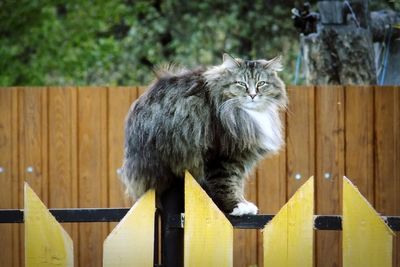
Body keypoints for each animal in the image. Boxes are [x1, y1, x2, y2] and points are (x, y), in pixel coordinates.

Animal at [120, 53, 286, 217]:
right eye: (241, 83)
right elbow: (228, 185)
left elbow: (237, 183)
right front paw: (237, 206)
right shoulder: (222, 156)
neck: (248, 114)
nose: (252, 95)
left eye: (261, 83)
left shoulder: (237, 158)